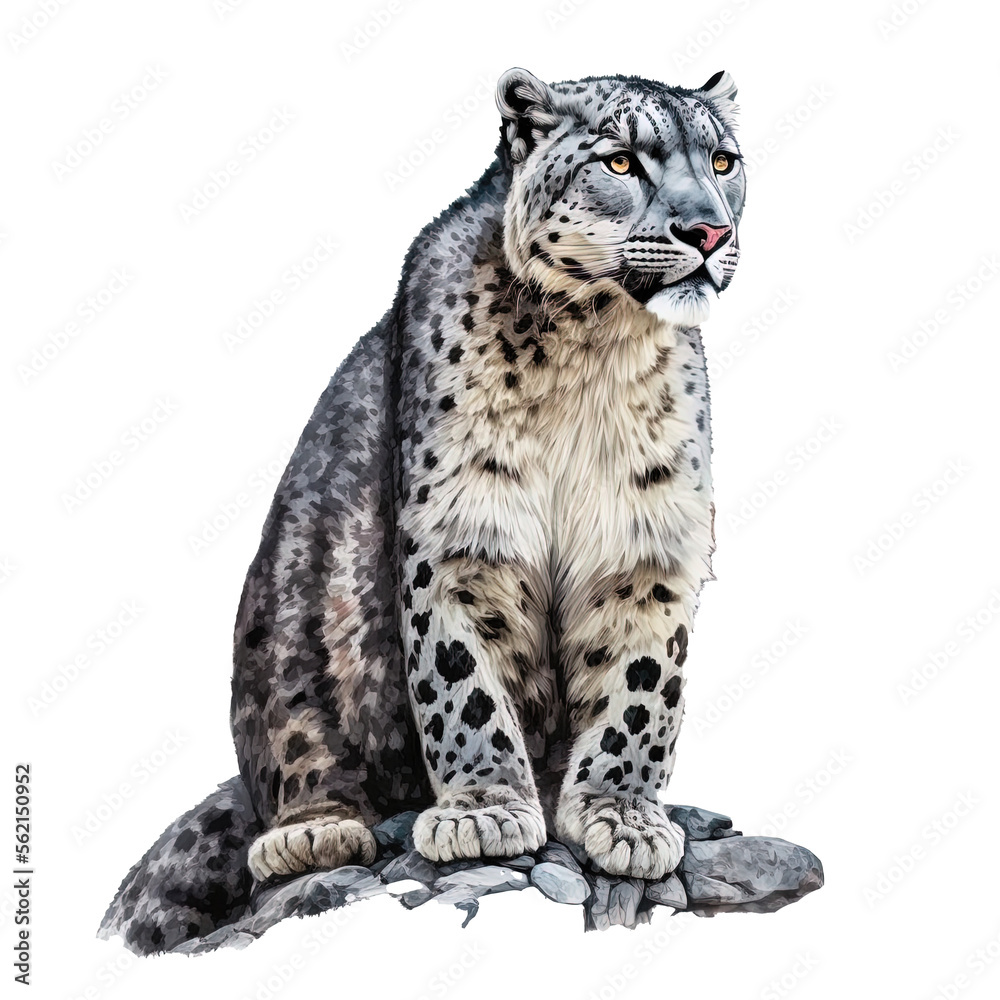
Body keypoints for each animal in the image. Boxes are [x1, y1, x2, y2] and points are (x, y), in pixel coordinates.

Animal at [100, 66, 747, 951]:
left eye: (722, 161)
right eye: (620, 161)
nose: (707, 231)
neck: (596, 352)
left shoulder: (646, 542)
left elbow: (643, 686)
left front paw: (622, 817)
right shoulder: (462, 535)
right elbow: (462, 680)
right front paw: (484, 811)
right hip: (284, 623)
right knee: (288, 748)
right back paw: (315, 828)